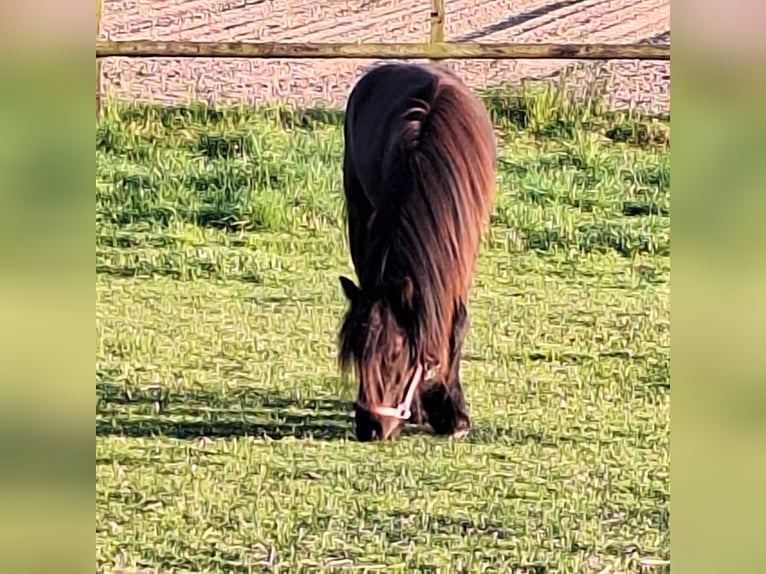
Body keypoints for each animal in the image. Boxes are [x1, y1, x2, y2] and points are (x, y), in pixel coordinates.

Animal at [337, 62, 496, 441]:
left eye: (395, 354)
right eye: (355, 353)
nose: (370, 428)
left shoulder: (462, 253)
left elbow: (455, 323)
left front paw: (454, 413)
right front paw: (430, 408)